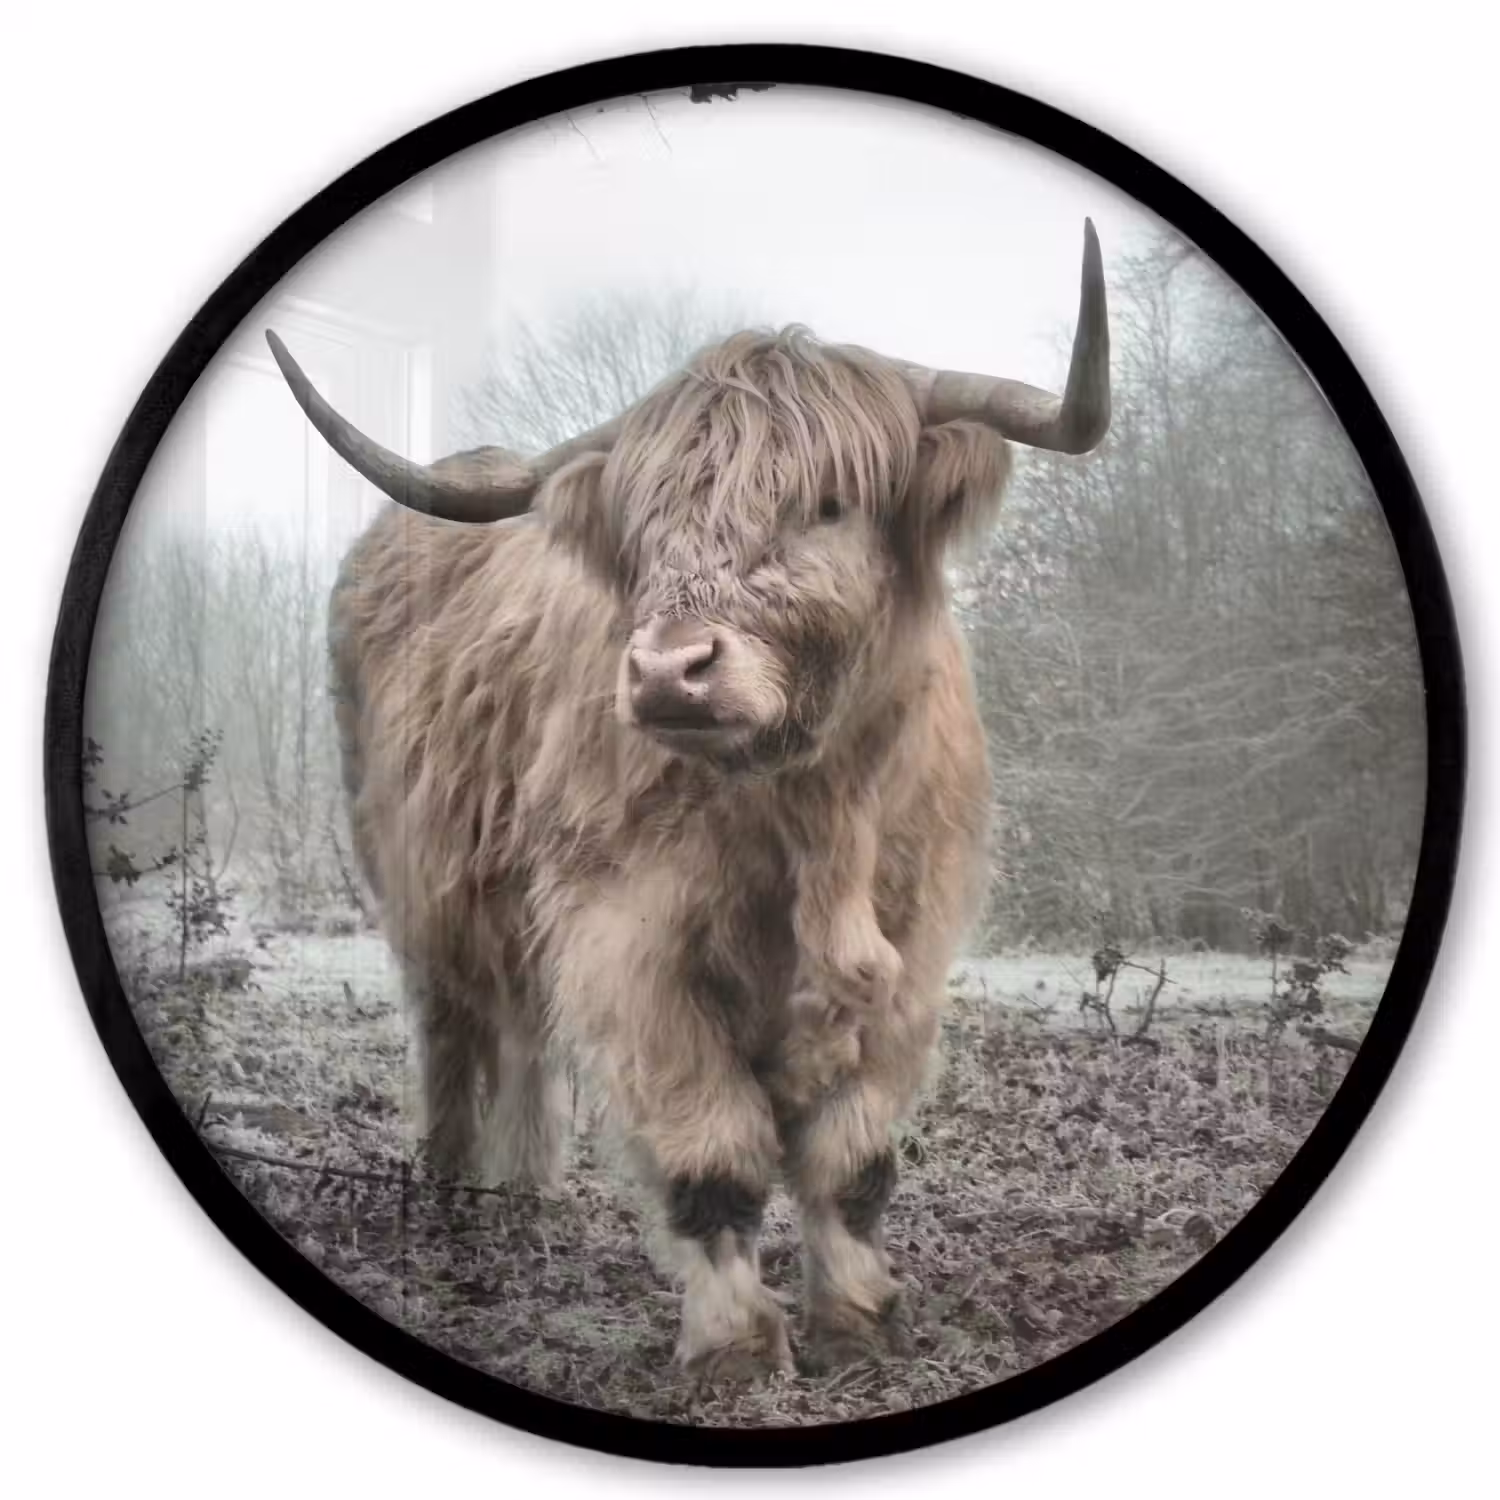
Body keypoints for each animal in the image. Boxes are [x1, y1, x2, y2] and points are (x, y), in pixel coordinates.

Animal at [266, 221, 1110, 1381]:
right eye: (646, 526)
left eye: (829, 504)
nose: (670, 671)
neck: (812, 818)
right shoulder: (630, 942)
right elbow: (714, 1154)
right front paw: (736, 1346)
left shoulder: (912, 951)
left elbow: (853, 1160)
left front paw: (859, 1323)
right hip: (419, 882)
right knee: (454, 1030)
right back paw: (453, 1197)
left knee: (523, 1033)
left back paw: (524, 1190)